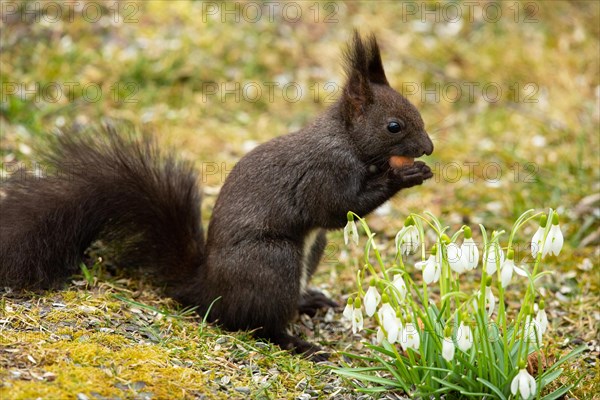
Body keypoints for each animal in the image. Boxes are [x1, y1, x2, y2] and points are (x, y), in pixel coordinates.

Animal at [0, 29, 432, 358]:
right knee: (259, 324)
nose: (428, 148)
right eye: (394, 126)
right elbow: (336, 210)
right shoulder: (322, 173)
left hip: (307, 254)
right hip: (272, 261)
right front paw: (406, 175)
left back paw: (308, 301)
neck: (345, 139)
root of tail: (206, 289)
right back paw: (298, 343)